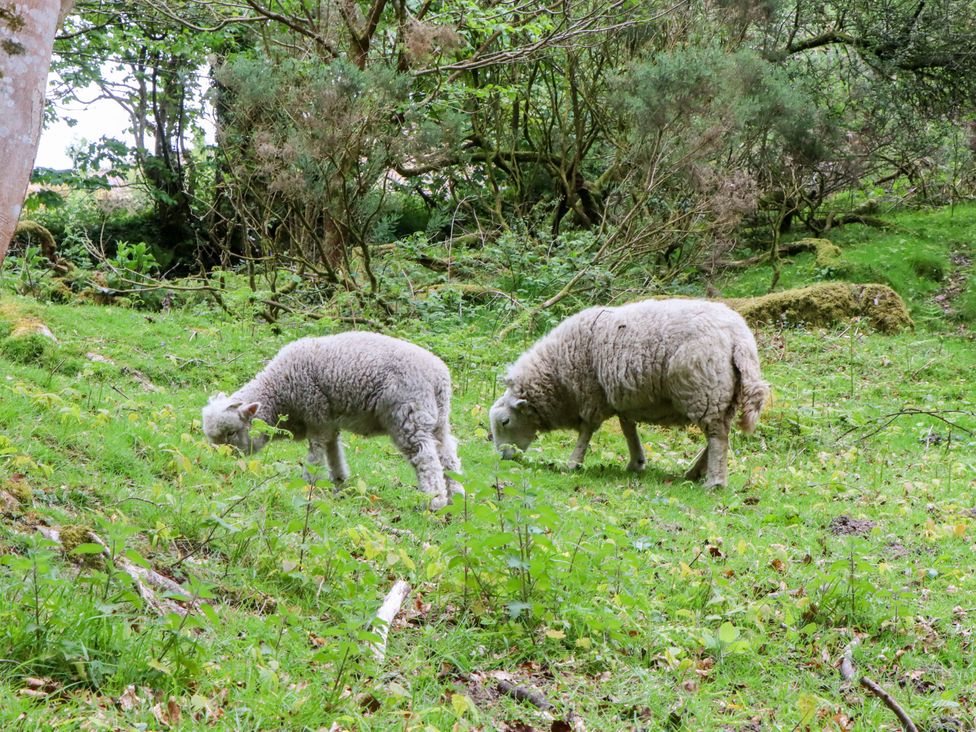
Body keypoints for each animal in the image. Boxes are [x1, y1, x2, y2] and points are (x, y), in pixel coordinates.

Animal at [202, 332, 463, 510]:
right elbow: (333, 450)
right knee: (448, 456)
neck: (279, 394)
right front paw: (339, 482)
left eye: (230, 433)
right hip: (438, 419)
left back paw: (434, 501)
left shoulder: (316, 413)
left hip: (409, 416)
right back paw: (457, 497)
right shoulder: (328, 420)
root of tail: (439, 377)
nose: (221, 462)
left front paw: (309, 482)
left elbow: (316, 451)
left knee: (426, 458)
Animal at [489, 299, 769, 487]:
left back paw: (715, 481)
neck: (556, 375)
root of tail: (740, 338)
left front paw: (573, 462)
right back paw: (695, 472)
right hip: (723, 394)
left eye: (505, 422)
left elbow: (587, 431)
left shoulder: (592, 393)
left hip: (705, 389)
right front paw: (636, 462)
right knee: (718, 434)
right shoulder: (622, 398)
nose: (502, 457)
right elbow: (628, 429)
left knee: (718, 436)